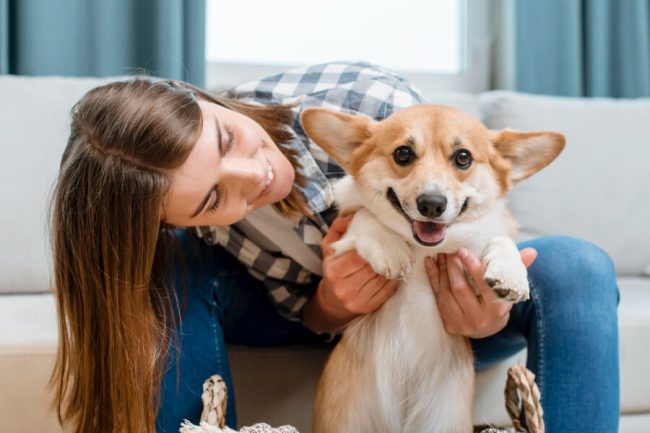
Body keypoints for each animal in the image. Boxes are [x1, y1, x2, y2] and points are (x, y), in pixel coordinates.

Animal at [298, 104, 560, 432]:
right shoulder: (345, 227)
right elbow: (364, 215)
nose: (432, 204)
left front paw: (509, 273)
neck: (425, 251)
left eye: (463, 157)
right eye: (403, 154)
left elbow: (500, 238)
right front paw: (388, 247)